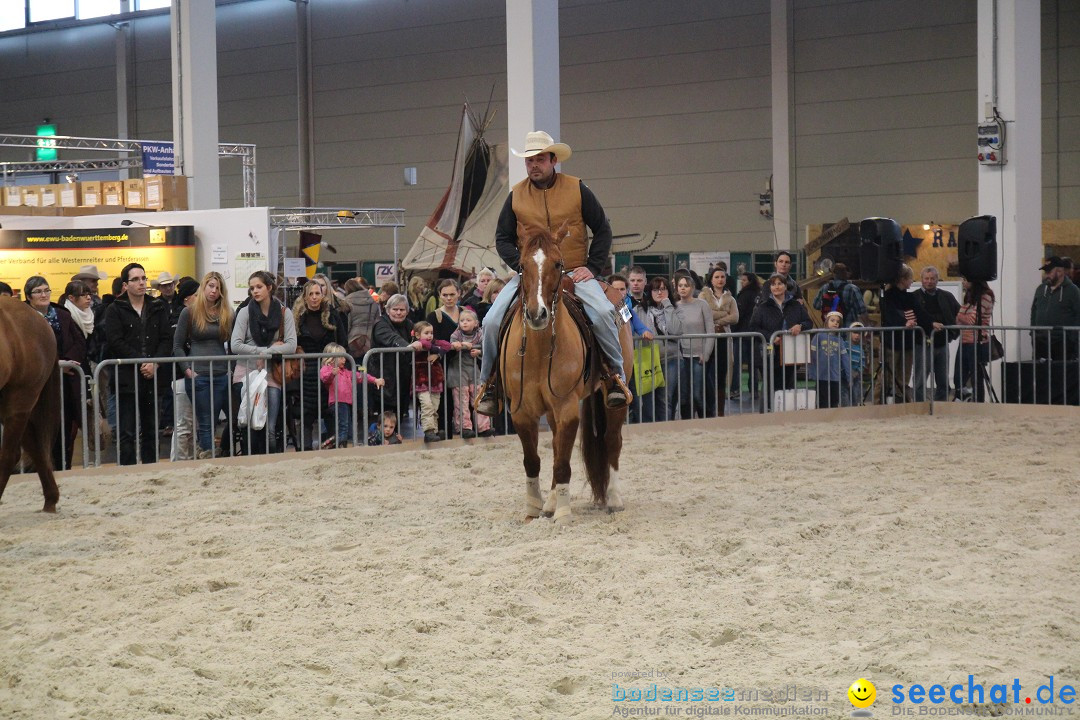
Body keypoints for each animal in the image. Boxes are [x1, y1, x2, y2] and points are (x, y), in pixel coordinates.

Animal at [498, 222, 630, 526]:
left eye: (558, 264)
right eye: (521, 265)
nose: (537, 315)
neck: (539, 350)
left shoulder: (567, 408)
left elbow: (562, 463)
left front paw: (564, 513)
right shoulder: (522, 411)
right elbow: (534, 461)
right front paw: (534, 508)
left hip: (614, 400)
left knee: (612, 441)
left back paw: (614, 499)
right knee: (559, 446)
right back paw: (550, 503)